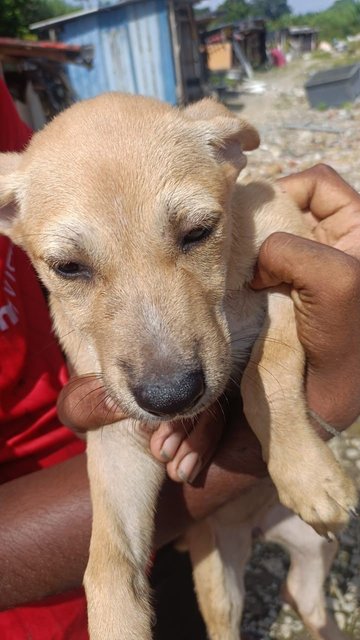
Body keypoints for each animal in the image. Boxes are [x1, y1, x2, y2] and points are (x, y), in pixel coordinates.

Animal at [0, 91, 356, 640]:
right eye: (68, 268)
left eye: (198, 232)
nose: (171, 398)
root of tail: (261, 527)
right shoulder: (118, 434)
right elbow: (106, 559)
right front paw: (115, 622)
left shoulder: (288, 268)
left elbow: (264, 370)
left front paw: (306, 473)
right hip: (219, 571)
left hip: (317, 546)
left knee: (306, 596)